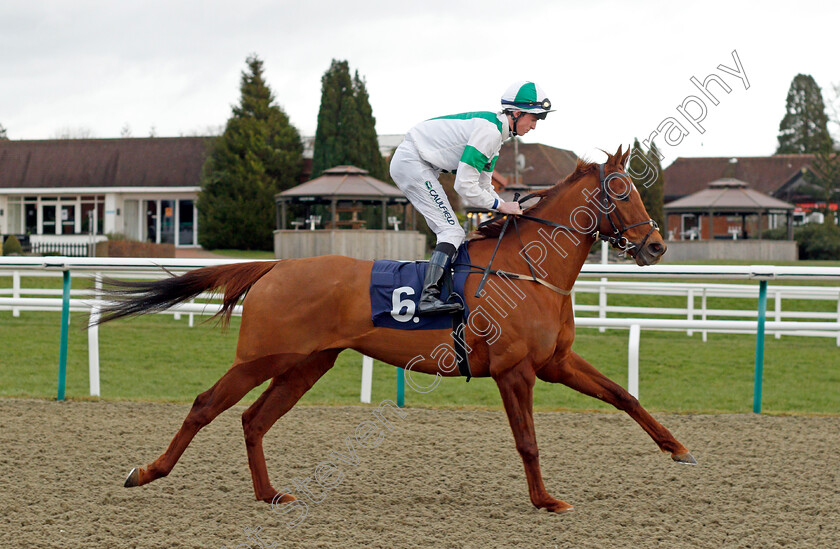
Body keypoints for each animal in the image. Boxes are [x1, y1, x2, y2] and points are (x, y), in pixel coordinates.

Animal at [97, 147, 696, 512]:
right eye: (621, 192)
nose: (656, 245)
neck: (528, 267)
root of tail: (275, 266)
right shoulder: (515, 371)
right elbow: (527, 441)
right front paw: (546, 500)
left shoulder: (555, 363)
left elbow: (623, 395)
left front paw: (678, 448)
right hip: (263, 357)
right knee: (206, 405)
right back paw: (146, 472)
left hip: (308, 364)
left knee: (253, 419)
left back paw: (271, 494)